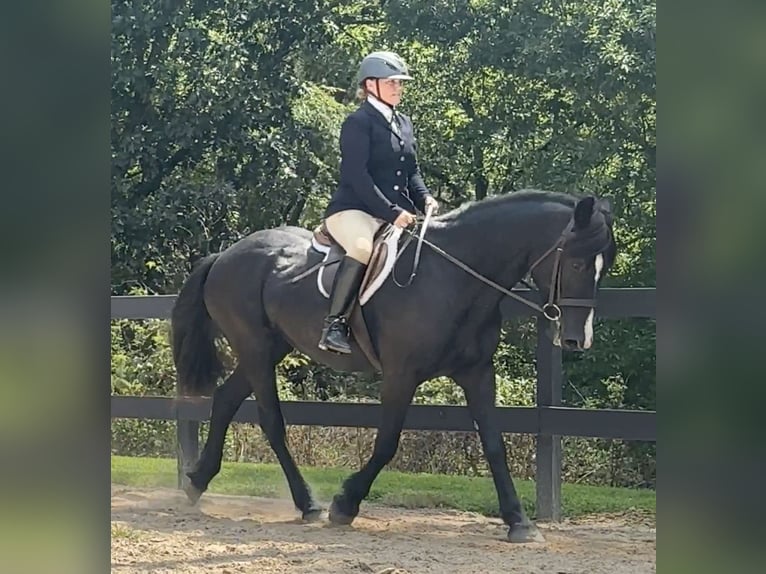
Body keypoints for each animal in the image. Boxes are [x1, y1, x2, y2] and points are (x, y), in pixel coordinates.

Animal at [172, 190, 616, 544]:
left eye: (603, 265)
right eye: (577, 264)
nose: (577, 339)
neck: (454, 277)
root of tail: (225, 254)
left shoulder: (477, 373)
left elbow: (494, 445)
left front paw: (519, 522)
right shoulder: (402, 375)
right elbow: (386, 443)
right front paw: (345, 505)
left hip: (268, 349)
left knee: (226, 400)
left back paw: (196, 482)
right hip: (256, 349)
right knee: (271, 421)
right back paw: (308, 503)